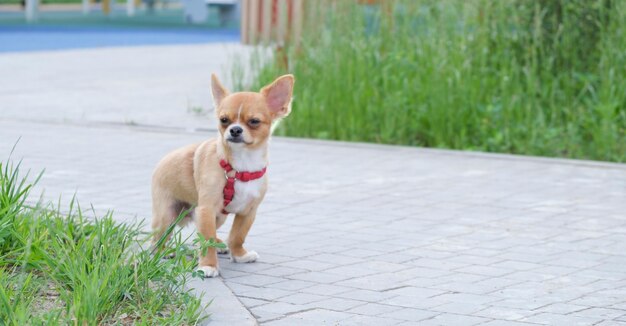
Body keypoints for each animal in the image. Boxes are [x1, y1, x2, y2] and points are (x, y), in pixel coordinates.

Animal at [153, 74, 294, 278]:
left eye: (254, 121)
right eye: (224, 120)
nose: (235, 129)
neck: (241, 166)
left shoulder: (248, 212)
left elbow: (237, 236)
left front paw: (240, 255)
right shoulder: (206, 209)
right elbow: (206, 240)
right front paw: (208, 266)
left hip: (219, 217)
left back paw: (219, 244)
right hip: (167, 215)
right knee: (157, 238)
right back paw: (164, 251)